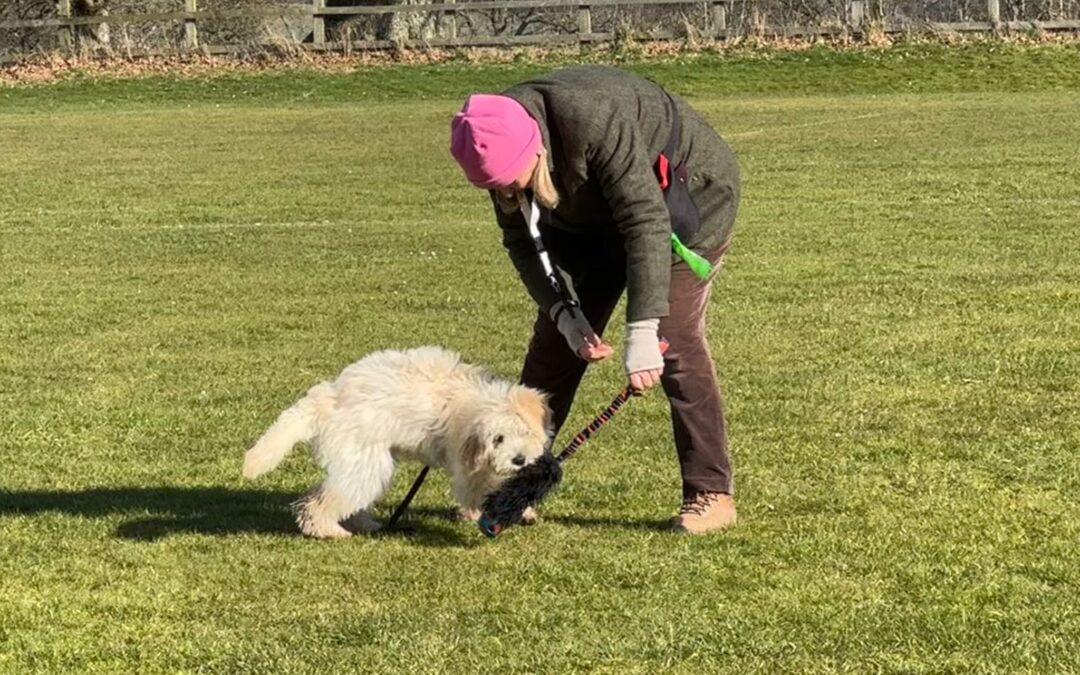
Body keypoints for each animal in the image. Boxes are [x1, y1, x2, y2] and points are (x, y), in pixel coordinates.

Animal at [241, 347, 552, 537]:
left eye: (523, 432)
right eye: (498, 439)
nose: (519, 460)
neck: (473, 398)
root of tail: (328, 398)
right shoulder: (467, 463)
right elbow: (483, 488)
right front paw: (515, 511)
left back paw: (365, 523)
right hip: (365, 460)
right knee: (323, 500)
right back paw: (328, 530)